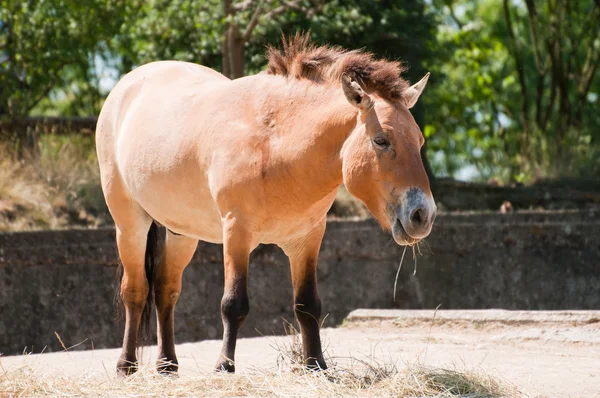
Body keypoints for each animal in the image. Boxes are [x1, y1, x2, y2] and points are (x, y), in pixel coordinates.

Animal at [97, 35, 436, 376]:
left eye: (419, 142)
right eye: (381, 140)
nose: (423, 215)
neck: (275, 143)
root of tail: (126, 86)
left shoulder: (307, 239)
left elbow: (307, 305)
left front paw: (315, 364)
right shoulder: (236, 232)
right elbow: (233, 303)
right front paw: (224, 365)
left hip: (182, 232)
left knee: (166, 289)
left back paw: (167, 365)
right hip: (130, 224)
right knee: (136, 291)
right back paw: (126, 364)